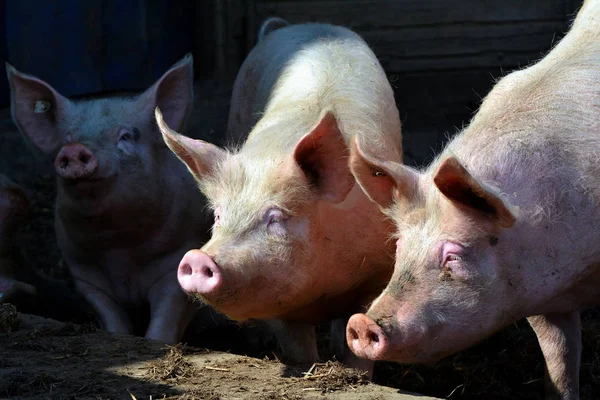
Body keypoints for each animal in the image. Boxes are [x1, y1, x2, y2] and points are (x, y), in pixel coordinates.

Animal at [6, 54, 213, 344]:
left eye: (125, 136)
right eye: (67, 139)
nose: (74, 149)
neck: (119, 250)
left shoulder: (176, 264)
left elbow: (163, 324)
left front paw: (156, 342)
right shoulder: (86, 276)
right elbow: (113, 323)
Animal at [155, 20, 404, 368]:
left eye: (276, 217)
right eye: (218, 215)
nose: (197, 257)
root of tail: (298, 26)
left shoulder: (377, 274)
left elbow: (360, 340)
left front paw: (355, 372)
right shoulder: (278, 304)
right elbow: (299, 350)